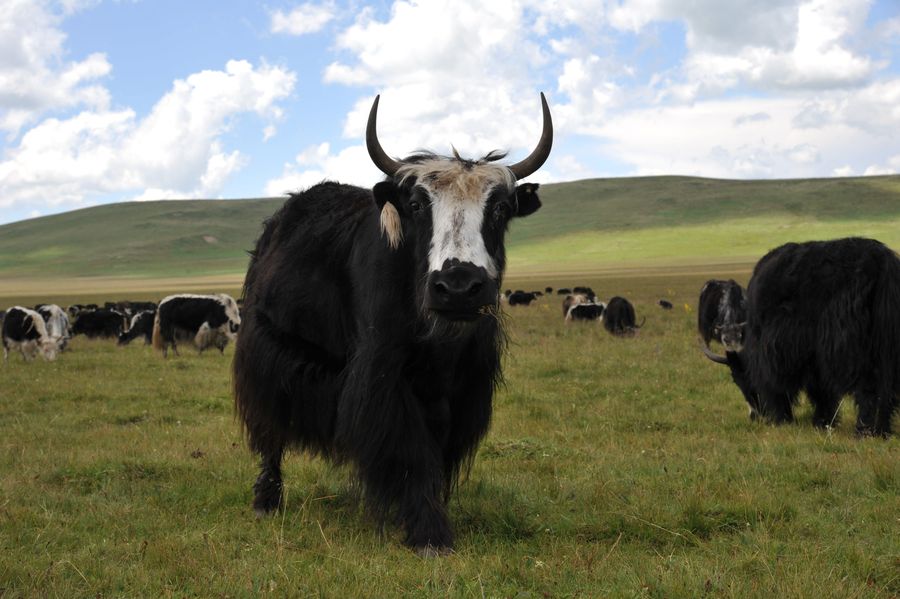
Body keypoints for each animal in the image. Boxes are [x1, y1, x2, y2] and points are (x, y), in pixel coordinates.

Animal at [232, 91, 556, 556]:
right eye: (418, 205)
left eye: (500, 208)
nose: (458, 287)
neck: (440, 345)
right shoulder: (383, 373)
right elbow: (410, 449)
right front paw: (429, 533)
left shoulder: (462, 386)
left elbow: (437, 449)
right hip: (268, 352)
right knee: (270, 428)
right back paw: (266, 500)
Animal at [704, 238, 900, 436]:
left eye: (739, 378)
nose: (756, 417)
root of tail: (881, 261)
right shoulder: (813, 357)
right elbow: (822, 390)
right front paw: (823, 422)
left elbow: (780, 386)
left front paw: (783, 420)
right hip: (887, 346)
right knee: (888, 388)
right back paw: (883, 431)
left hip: (849, 348)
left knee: (867, 386)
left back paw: (862, 431)